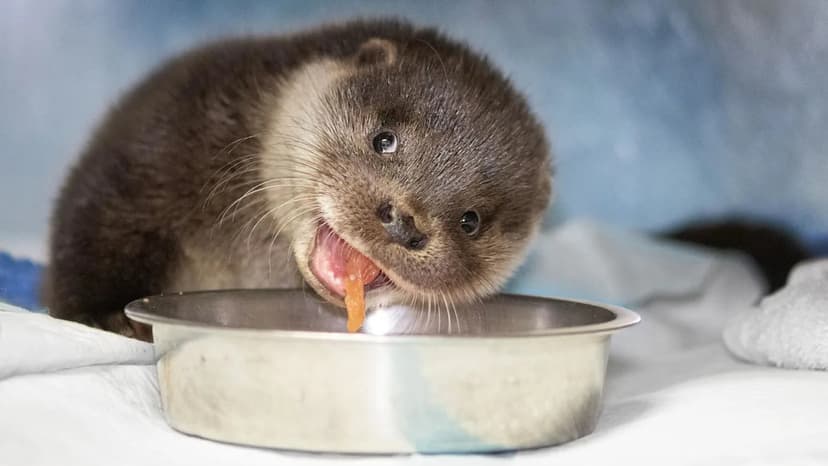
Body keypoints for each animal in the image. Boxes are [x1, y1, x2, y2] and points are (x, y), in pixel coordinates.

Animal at [43, 19, 552, 340]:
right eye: (384, 140)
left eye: (471, 221)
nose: (404, 223)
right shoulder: (160, 143)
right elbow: (99, 221)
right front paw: (105, 313)